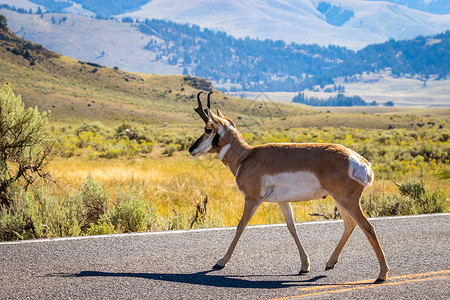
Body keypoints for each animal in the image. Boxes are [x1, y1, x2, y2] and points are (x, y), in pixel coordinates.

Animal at [188, 91, 388, 284]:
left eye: (208, 129)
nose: (191, 149)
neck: (246, 156)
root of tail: (361, 161)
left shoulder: (252, 199)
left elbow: (240, 226)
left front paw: (220, 262)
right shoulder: (283, 202)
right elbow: (292, 228)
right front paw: (305, 266)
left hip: (347, 201)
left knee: (367, 227)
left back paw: (382, 274)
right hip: (340, 200)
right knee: (350, 224)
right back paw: (330, 263)